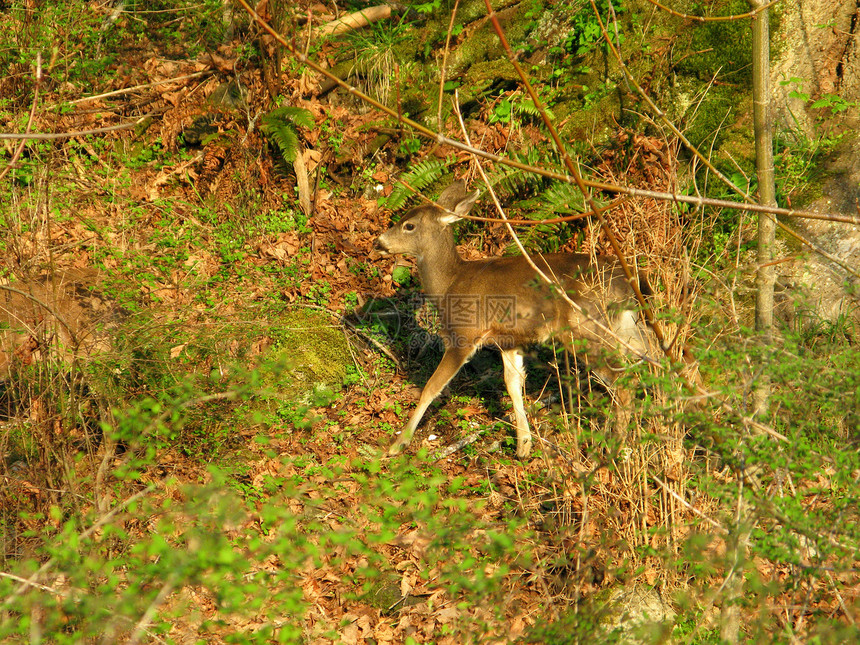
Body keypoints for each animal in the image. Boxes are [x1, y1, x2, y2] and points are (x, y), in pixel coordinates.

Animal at [374, 180, 652, 458]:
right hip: (626, 326)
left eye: (409, 225)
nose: (378, 242)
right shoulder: (509, 340)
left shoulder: (465, 333)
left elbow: (431, 387)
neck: (449, 284)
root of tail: (627, 281)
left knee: (624, 380)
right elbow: (513, 383)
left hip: (584, 327)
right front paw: (524, 445)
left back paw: (615, 447)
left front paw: (397, 445)